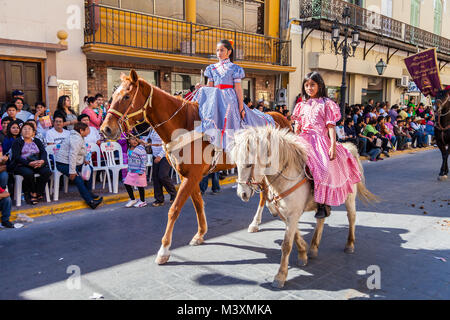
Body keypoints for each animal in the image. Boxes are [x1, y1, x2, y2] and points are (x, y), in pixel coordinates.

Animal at [100, 70, 292, 264]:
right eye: (113, 96)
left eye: (126, 96)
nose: (105, 129)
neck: (182, 124)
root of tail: (280, 117)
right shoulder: (187, 175)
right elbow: (198, 204)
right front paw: (200, 235)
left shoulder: (192, 176)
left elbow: (174, 209)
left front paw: (164, 250)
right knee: (265, 190)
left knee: (265, 192)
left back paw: (257, 221)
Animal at [230, 126, 378, 288]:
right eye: (236, 164)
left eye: (249, 164)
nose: (242, 194)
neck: (286, 173)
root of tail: (348, 148)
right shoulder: (284, 213)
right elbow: (295, 235)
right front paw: (303, 252)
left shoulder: (293, 214)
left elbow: (286, 244)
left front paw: (280, 276)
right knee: (321, 219)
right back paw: (313, 247)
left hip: (349, 198)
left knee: (351, 217)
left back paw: (349, 245)